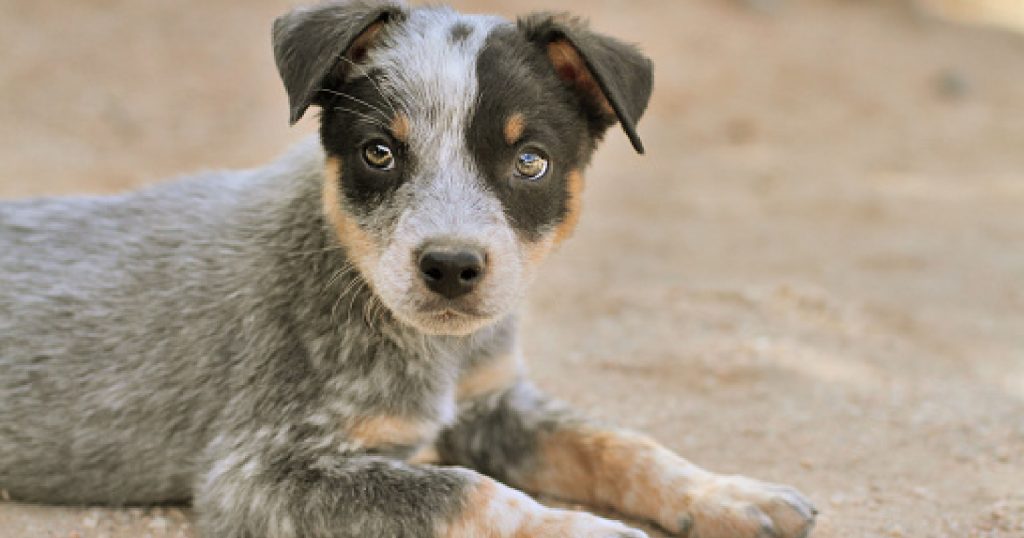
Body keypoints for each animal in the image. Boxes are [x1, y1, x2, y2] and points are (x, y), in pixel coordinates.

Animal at [0, 1, 815, 536]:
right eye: (379, 152)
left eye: (530, 161)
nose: (451, 266)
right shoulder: (260, 471)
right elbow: (470, 492)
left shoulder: (494, 402)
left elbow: (619, 443)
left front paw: (727, 493)